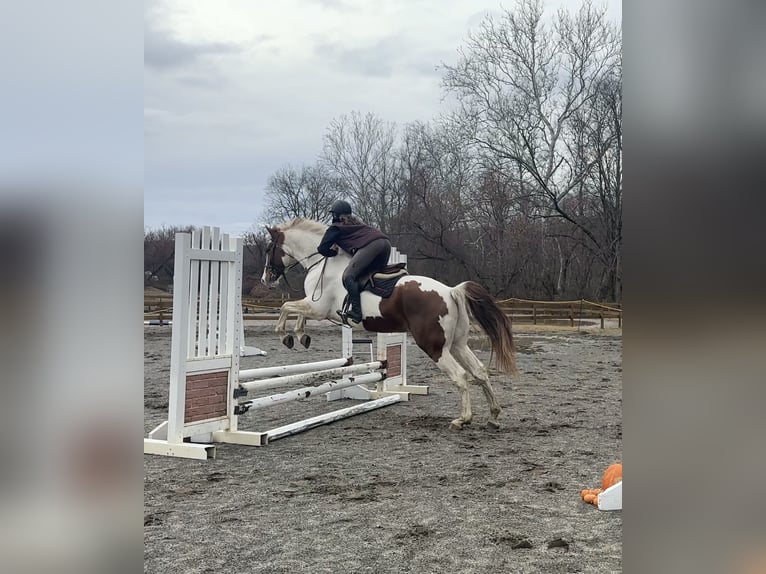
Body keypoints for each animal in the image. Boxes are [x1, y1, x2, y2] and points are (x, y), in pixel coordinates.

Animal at [260, 218, 520, 430]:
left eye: (269, 249)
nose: (266, 279)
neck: (323, 263)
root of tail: (451, 291)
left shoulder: (318, 308)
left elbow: (287, 308)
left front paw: (287, 335)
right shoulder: (315, 308)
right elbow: (295, 311)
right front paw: (301, 336)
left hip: (435, 347)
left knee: (460, 376)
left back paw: (462, 419)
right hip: (457, 344)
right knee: (479, 372)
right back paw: (493, 416)